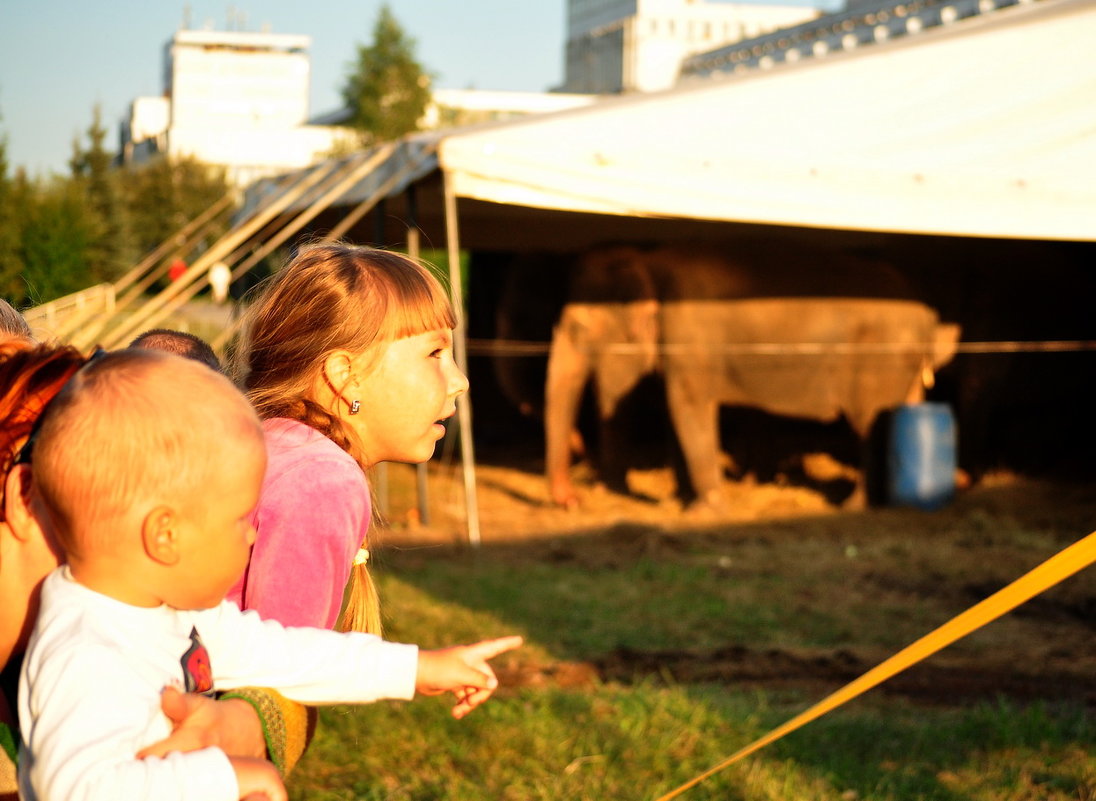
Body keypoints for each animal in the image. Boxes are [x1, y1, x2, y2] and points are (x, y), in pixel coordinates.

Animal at [548, 241, 960, 510]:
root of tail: (928, 315)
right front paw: (681, 501)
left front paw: (704, 510)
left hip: (878, 362)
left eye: (578, 327)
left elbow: (687, 406)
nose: (573, 500)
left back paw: (853, 507)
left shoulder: (690, 335)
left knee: (870, 424)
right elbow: (677, 410)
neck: (646, 261)